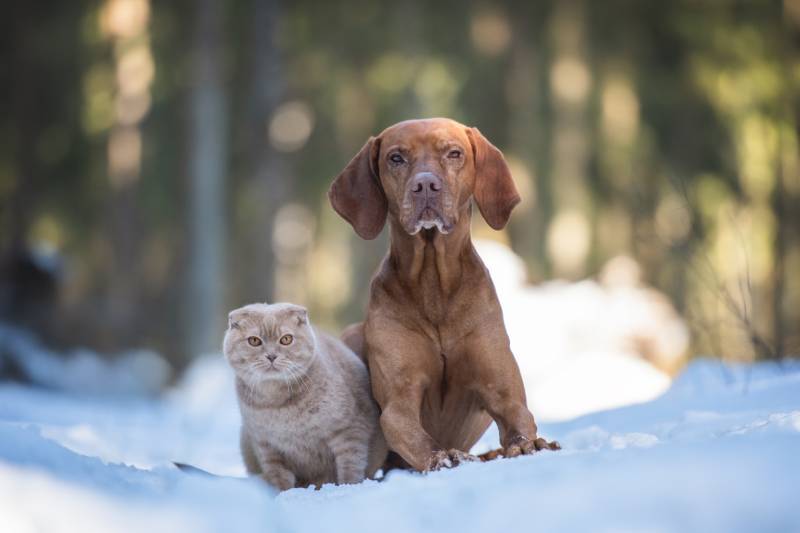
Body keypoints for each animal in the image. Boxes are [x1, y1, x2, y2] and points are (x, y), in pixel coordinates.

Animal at [223, 302, 390, 488]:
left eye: (286, 339)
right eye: (254, 341)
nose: (272, 356)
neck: (276, 404)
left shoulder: (349, 429)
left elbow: (351, 465)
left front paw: (347, 488)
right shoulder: (266, 445)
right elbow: (278, 476)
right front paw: (281, 492)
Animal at [328, 117, 560, 470]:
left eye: (454, 153)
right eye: (396, 158)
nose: (425, 185)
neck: (433, 283)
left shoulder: (503, 392)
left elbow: (519, 422)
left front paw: (527, 446)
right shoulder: (399, 404)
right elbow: (420, 439)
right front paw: (445, 456)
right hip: (352, 335)